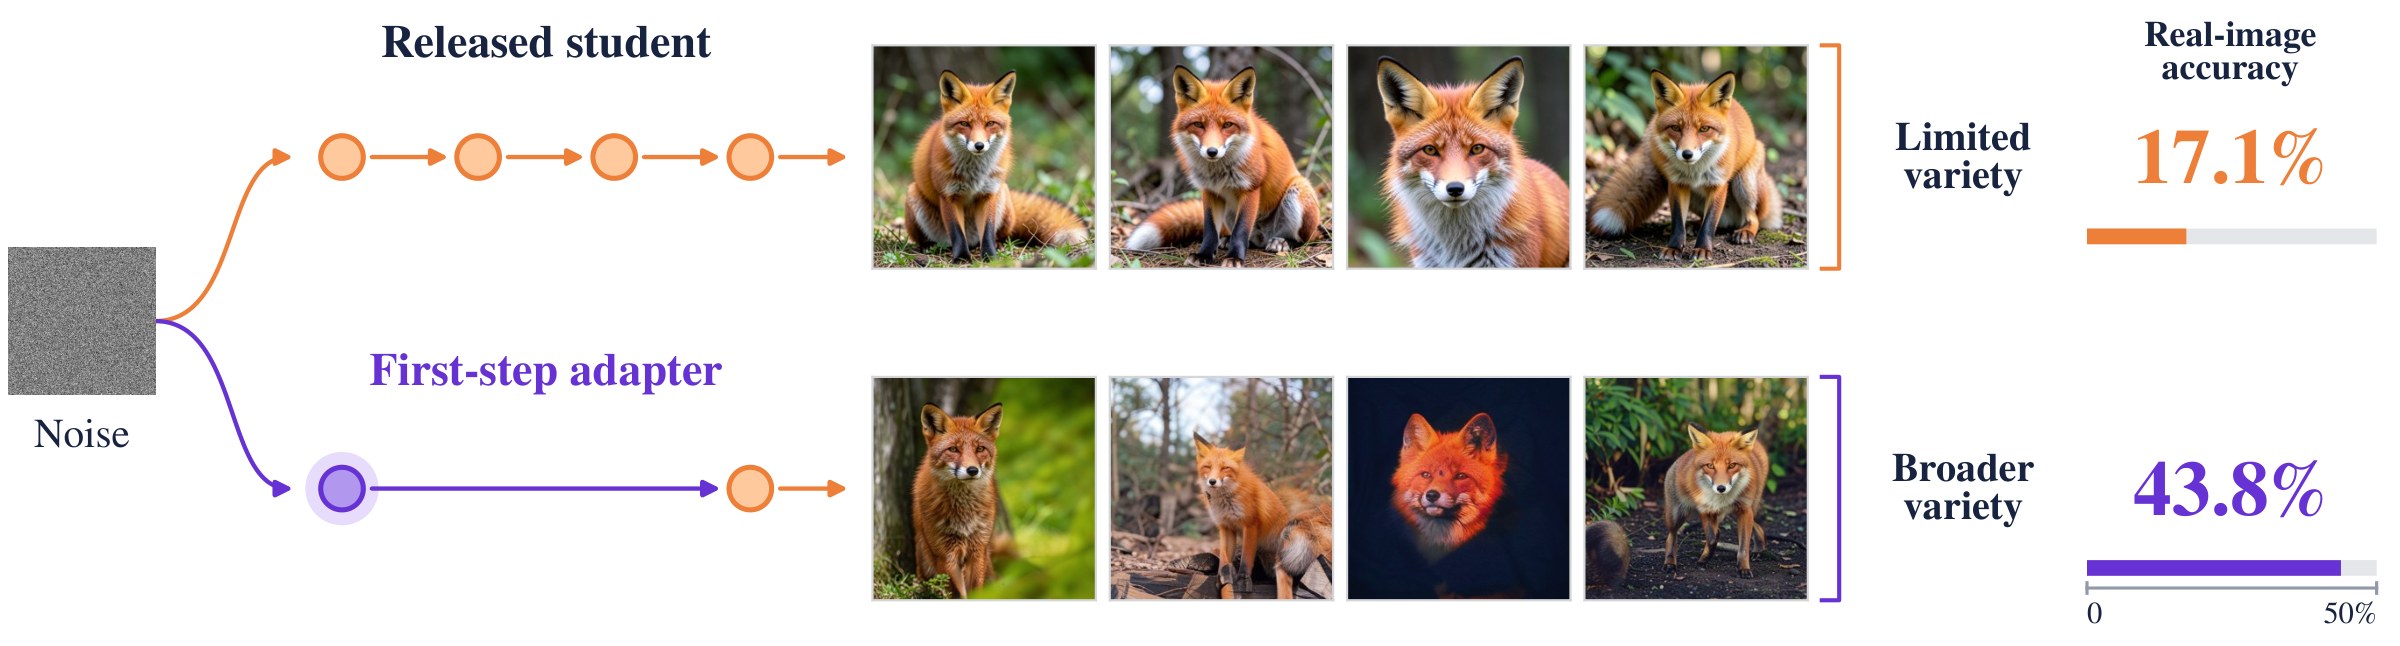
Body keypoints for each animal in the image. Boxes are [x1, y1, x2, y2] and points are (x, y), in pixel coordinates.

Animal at [903, 70, 1090, 262]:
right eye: (964, 124)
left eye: (990, 123)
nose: (979, 145)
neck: (974, 174)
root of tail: (972, 240)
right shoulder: (949, 195)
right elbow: (957, 233)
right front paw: (961, 258)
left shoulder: (989, 193)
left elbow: (988, 231)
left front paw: (991, 257)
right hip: (913, 195)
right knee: (934, 238)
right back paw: (927, 246)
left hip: (1003, 194)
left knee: (1000, 235)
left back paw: (998, 244)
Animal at [912, 402, 1003, 598]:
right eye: (953, 449)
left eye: (980, 449)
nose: (972, 470)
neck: (963, 514)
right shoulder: (945, 554)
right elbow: (957, 593)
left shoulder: (978, 549)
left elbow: (975, 590)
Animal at [1122, 66, 1322, 263]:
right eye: (1198, 125)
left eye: (1227, 125)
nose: (1212, 151)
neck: (1218, 172)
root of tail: (1262, 236)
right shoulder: (1210, 190)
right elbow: (1210, 230)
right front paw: (1204, 255)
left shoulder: (1250, 188)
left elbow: (1241, 230)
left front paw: (1234, 258)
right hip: (1230, 212)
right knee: (1239, 237)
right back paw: (1226, 240)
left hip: (1298, 192)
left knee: (1306, 239)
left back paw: (1283, 242)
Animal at [1587, 70, 1782, 260]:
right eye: (1675, 128)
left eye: (1704, 129)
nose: (1687, 154)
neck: (1695, 170)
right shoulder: (1676, 183)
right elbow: (1678, 222)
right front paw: (1674, 248)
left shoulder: (1718, 184)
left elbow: (1709, 223)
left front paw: (1703, 250)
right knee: (1721, 222)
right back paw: (1695, 224)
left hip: (1745, 183)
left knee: (1753, 217)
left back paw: (1746, 231)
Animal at [1662, 422, 1771, 577]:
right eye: (1710, 466)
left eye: (1732, 465)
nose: (1721, 488)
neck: (1723, 500)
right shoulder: (1705, 509)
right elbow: (1712, 539)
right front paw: (1706, 558)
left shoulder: (1745, 509)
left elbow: (1743, 546)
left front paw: (1744, 568)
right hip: (1676, 515)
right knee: (1671, 535)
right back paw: (1670, 561)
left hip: (1748, 507)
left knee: (1755, 526)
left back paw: (1759, 548)